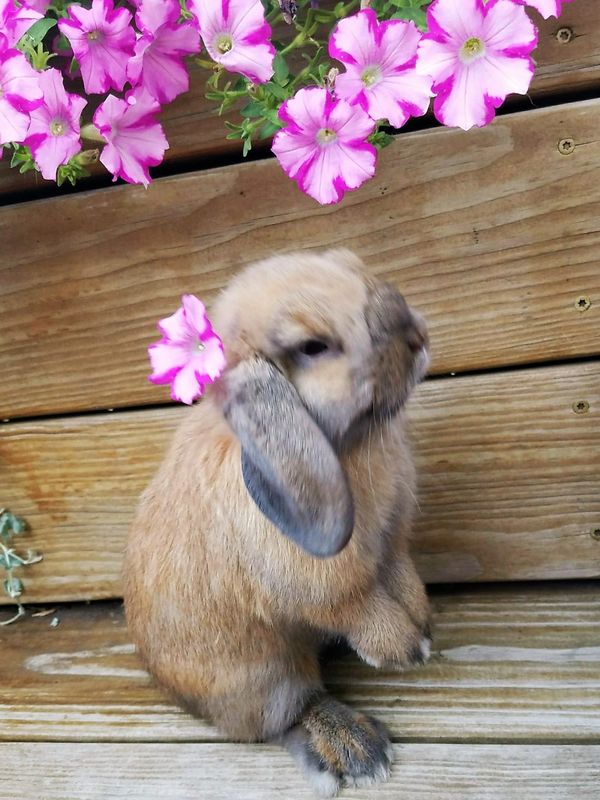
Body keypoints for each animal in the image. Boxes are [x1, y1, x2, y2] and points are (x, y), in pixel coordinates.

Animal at [124, 248, 432, 797]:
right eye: (313, 346)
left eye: (354, 266)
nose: (416, 335)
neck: (349, 445)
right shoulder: (330, 584)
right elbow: (359, 606)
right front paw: (403, 651)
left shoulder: (394, 544)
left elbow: (400, 575)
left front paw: (423, 623)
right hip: (266, 675)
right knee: (285, 715)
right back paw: (357, 748)